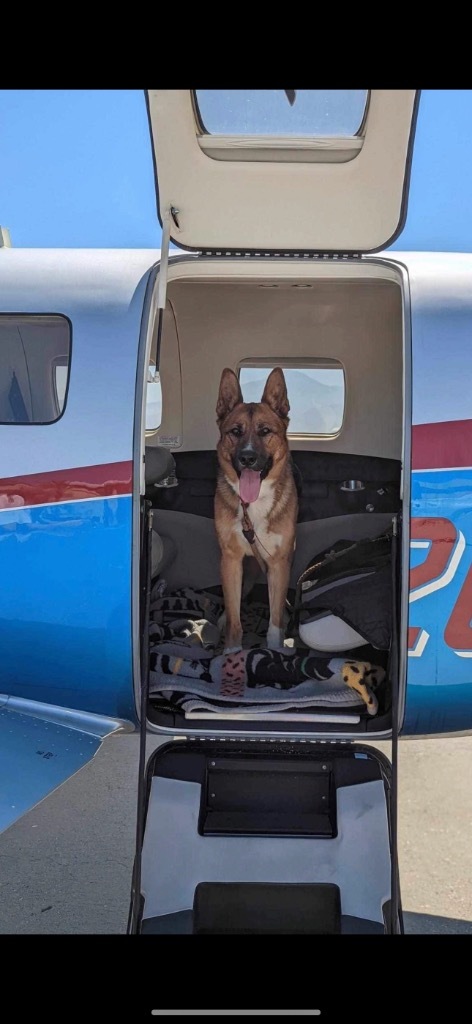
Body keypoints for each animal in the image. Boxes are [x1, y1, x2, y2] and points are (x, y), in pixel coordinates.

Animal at [213, 368, 296, 651]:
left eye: (265, 431)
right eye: (235, 431)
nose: (247, 458)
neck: (254, 505)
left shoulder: (279, 564)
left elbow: (276, 621)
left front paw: (276, 650)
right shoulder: (230, 559)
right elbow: (234, 621)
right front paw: (232, 652)